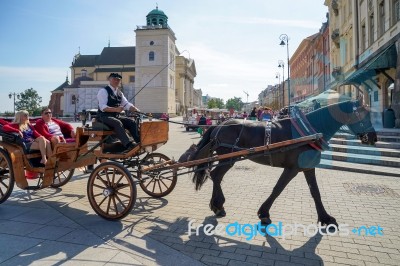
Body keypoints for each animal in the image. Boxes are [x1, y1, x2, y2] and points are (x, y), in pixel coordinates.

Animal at [181, 100, 378, 227]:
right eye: (362, 115)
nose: (373, 138)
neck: (308, 132)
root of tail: (219, 125)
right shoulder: (292, 168)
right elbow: (278, 189)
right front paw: (264, 213)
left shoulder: (308, 167)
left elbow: (315, 192)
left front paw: (325, 218)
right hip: (227, 158)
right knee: (216, 176)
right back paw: (218, 205)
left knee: (216, 176)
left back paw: (217, 206)